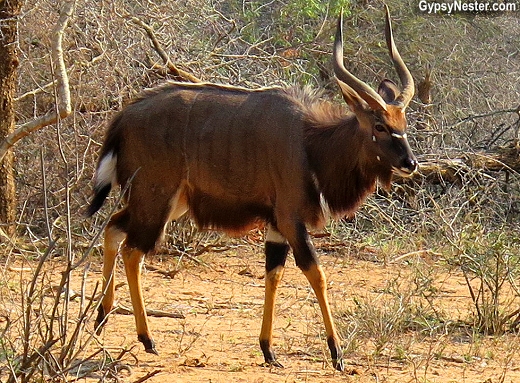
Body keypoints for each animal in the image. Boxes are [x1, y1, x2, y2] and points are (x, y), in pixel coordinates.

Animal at [87, 6, 416, 372]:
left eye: (404, 124)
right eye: (379, 126)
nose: (410, 163)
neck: (309, 142)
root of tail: (123, 117)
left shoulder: (275, 226)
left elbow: (274, 274)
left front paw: (268, 350)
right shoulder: (290, 219)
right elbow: (316, 273)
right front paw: (336, 353)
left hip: (165, 203)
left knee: (113, 227)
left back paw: (102, 317)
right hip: (156, 199)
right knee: (132, 250)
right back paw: (146, 339)